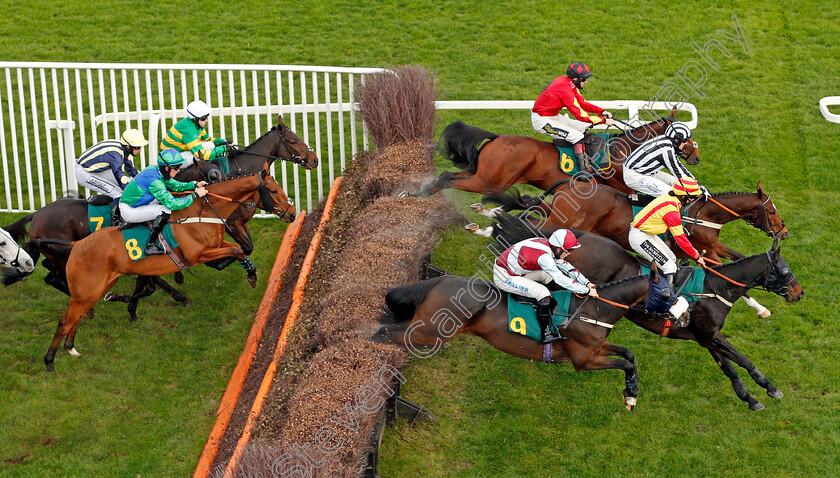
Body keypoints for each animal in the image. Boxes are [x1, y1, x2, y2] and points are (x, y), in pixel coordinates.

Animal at [42, 170, 292, 372]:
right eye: (273, 189)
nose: (291, 213)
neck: (201, 212)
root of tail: (77, 245)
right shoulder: (196, 255)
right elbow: (236, 250)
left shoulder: (216, 245)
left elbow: (239, 250)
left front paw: (251, 273)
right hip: (85, 291)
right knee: (65, 321)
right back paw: (50, 360)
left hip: (94, 289)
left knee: (78, 316)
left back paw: (71, 347)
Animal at [416, 110, 700, 196]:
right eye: (684, 135)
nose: (696, 157)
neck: (622, 150)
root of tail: (497, 139)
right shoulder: (622, 185)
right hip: (489, 181)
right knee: (447, 179)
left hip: (482, 175)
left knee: (446, 175)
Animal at [476, 181, 792, 320]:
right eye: (771, 211)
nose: (784, 232)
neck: (704, 215)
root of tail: (571, 183)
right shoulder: (698, 249)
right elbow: (724, 271)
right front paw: (761, 306)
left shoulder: (713, 246)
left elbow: (737, 258)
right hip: (563, 220)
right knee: (530, 221)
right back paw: (490, 227)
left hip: (557, 213)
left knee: (528, 210)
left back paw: (487, 219)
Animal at [482, 215, 804, 408]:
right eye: (784, 270)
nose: (799, 293)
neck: (714, 288)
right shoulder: (711, 335)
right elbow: (743, 360)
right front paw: (769, 388)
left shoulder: (705, 336)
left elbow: (729, 367)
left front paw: (749, 397)